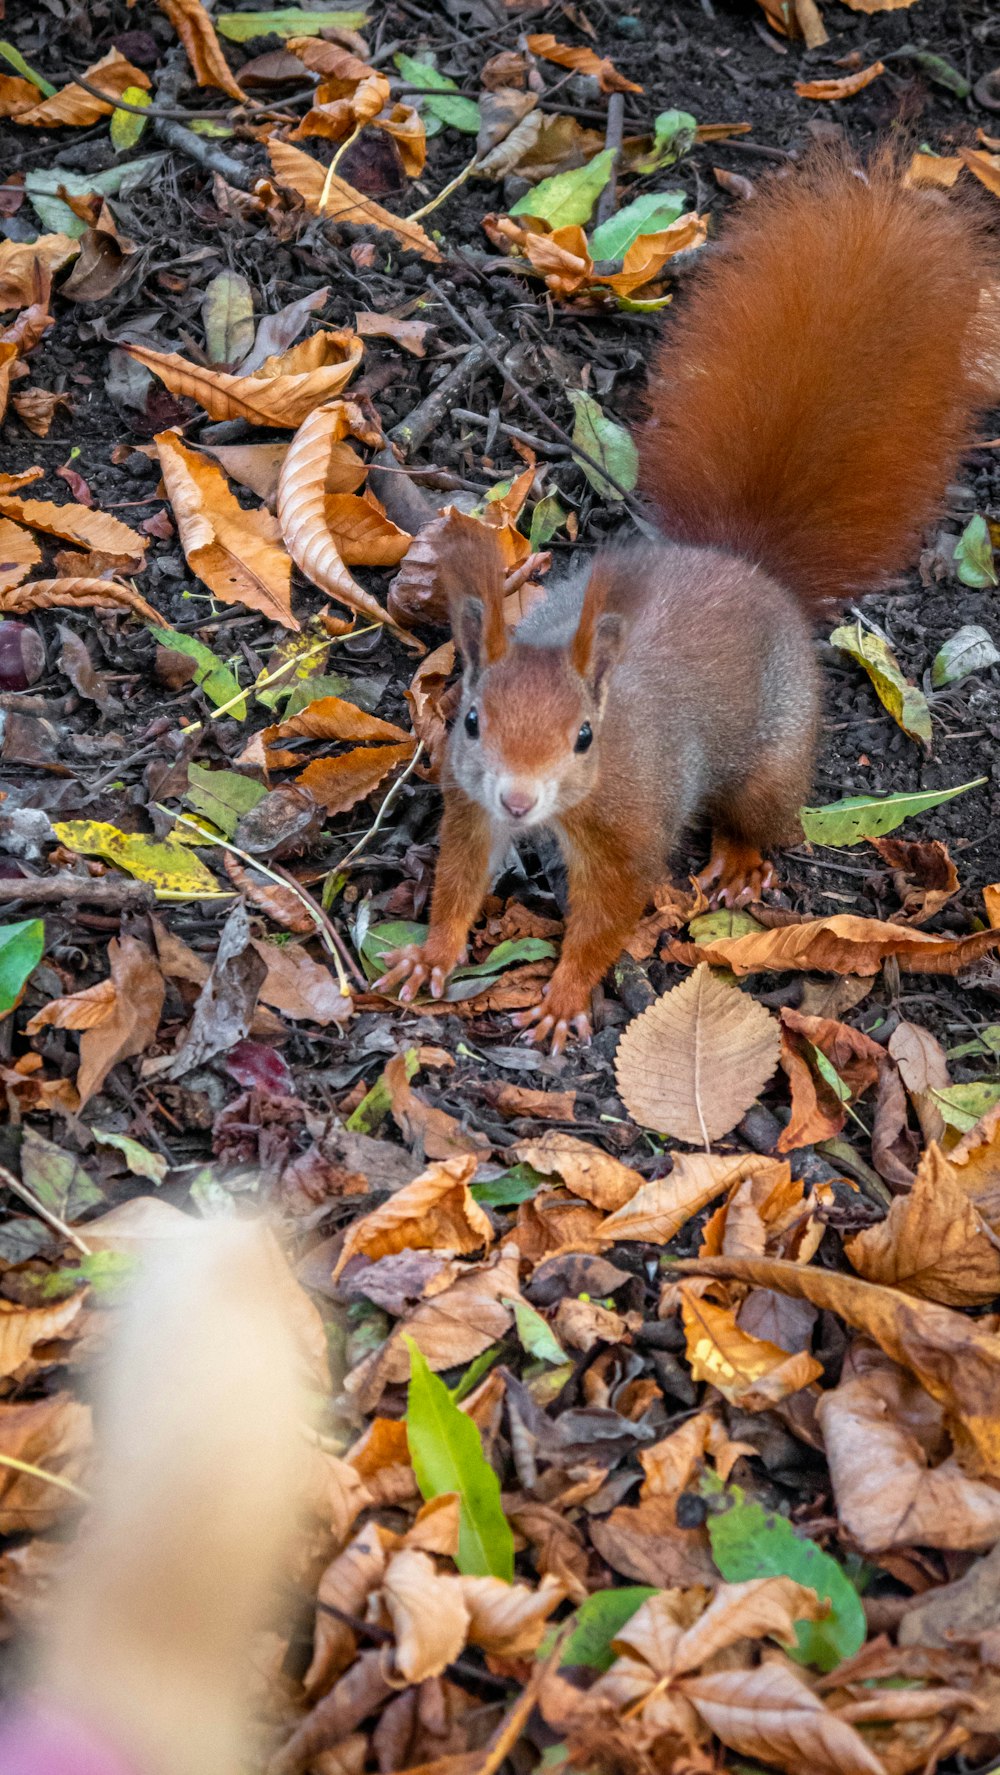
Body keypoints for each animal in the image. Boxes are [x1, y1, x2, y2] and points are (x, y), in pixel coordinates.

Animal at [380, 156, 994, 1050]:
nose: (519, 798)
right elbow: (459, 879)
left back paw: (739, 861)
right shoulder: (470, 804)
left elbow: (607, 915)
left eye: (584, 736)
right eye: (469, 720)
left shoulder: (629, 830)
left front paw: (565, 995)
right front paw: (431, 954)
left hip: (774, 752)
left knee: (762, 814)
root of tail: (746, 566)